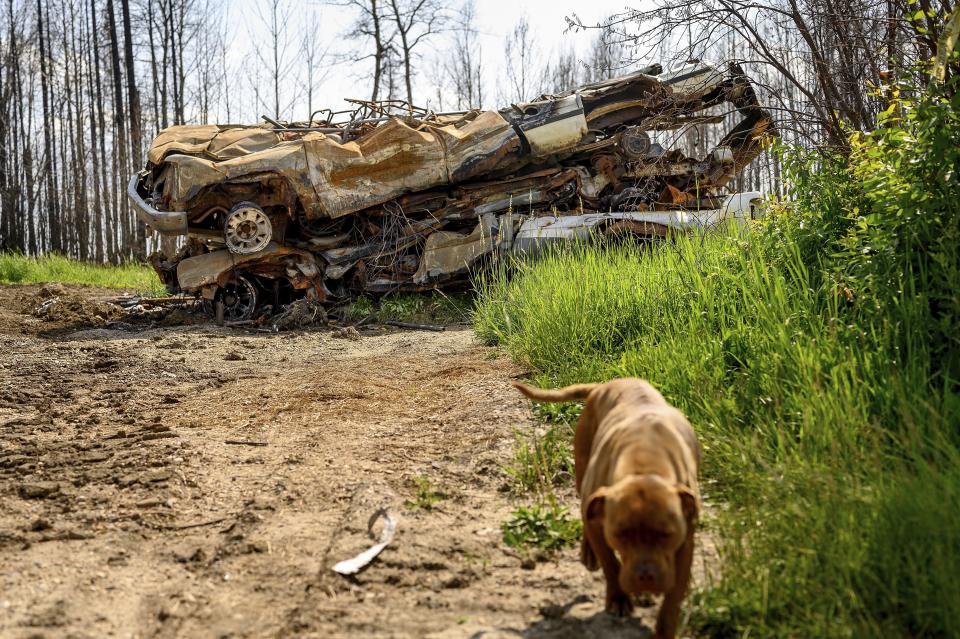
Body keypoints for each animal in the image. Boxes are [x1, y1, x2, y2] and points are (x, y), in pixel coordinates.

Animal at [512, 380, 700, 639]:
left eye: (666, 534)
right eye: (620, 534)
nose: (645, 576)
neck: (643, 465)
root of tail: (605, 384)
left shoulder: (684, 543)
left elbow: (672, 601)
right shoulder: (599, 517)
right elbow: (610, 563)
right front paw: (618, 598)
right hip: (583, 478)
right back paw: (589, 554)